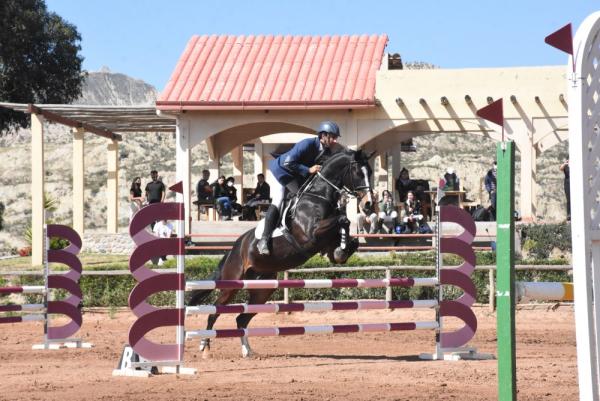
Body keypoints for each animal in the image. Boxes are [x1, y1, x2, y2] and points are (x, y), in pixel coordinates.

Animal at [190, 148, 372, 356]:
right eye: (358, 172)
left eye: (370, 172)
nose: (368, 204)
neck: (319, 196)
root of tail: (235, 248)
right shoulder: (311, 234)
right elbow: (343, 219)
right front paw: (343, 245)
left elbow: (346, 232)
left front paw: (342, 250)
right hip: (232, 284)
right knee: (214, 311)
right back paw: (204, 345)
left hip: (264, 289)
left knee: (241, 319)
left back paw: (247, 351)